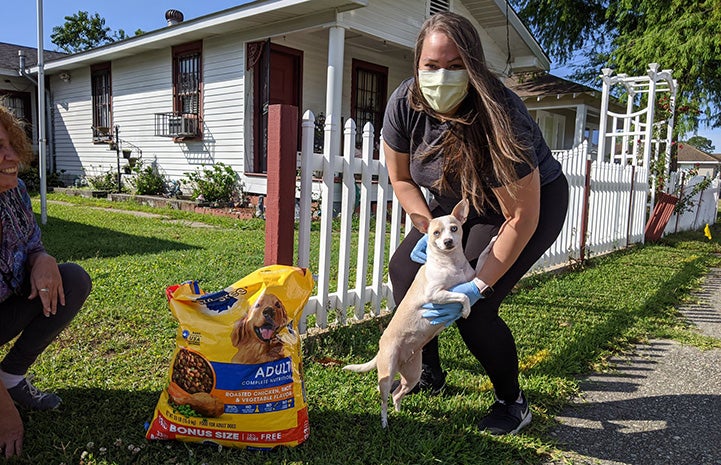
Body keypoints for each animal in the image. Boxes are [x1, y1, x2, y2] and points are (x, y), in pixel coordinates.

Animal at [340, 198, 492, 426]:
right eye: (435, 233)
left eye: (454, 228)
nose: (448, 241)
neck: (451, 264)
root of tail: (381, 348)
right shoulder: (435, 295)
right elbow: (462, 295)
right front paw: (465, 310)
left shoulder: (473, 278)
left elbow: (480, 265)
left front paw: (492, 243)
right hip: (387, 372)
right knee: (383, 398)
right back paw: (384, 422)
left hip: (411, 375)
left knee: (398, 393)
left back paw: (398, 411)